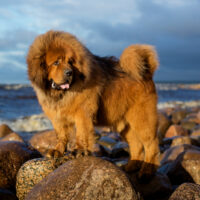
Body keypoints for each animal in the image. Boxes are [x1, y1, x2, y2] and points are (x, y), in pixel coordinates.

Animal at [27, 30, 160, 178]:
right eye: (56, 62)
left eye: (70, 62)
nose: (69, 72)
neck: (62, 94)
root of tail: (146, 72)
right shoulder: (58, 117)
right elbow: (61, 135)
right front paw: (58, 151)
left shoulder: (82, 113)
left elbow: (82, 133)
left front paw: (80, 151)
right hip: (125, 125)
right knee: (136, 145)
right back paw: (130, 166)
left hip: (141, 119)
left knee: (151, 144)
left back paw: (147, 170)